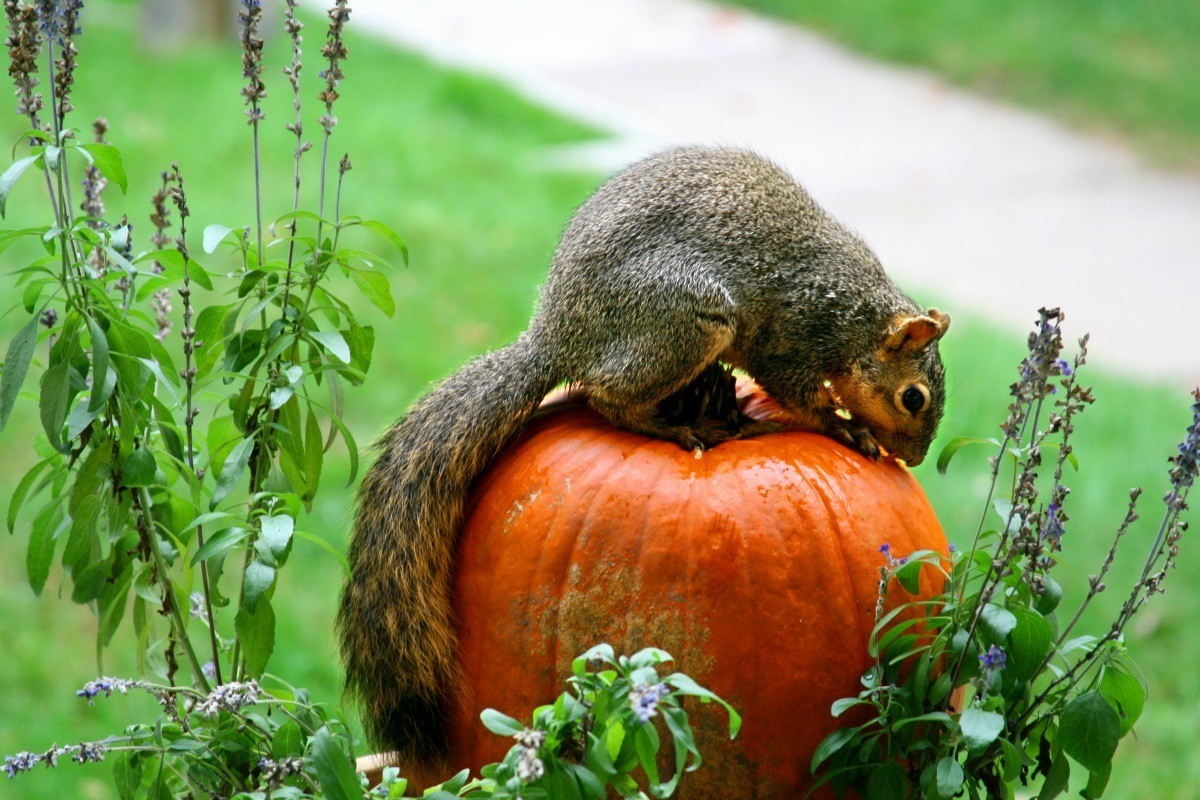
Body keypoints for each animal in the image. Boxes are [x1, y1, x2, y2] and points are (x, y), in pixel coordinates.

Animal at [336, 145, 945, 767]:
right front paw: (848, 429)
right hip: (686, 319)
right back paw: (678, 426)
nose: (916, 457)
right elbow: (798, 393)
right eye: (913, 398)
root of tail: (559, 336)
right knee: (607, 397)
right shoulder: (796, 335)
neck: (857, 317)